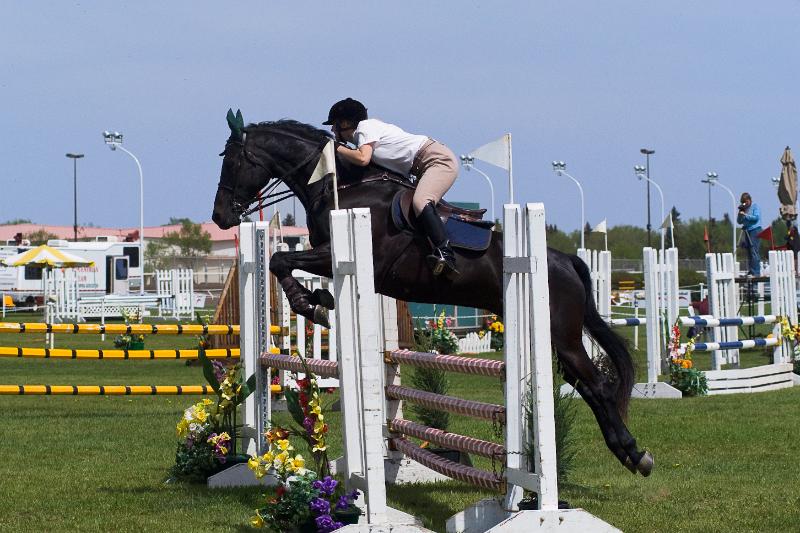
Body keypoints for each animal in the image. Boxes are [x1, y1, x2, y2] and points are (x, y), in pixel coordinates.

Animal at [209, 110, 652, 476]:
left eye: (233, 161)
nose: (220, 216)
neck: (336, 184)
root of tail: (564, 261)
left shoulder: (345, 253)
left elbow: (280, 259)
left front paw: (311, 303)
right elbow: (279, 261)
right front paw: (317, 301)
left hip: (563, 335)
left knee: (598, 386)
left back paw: (635, 454)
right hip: (555, 341)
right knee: (589, 388)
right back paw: (627, 452)